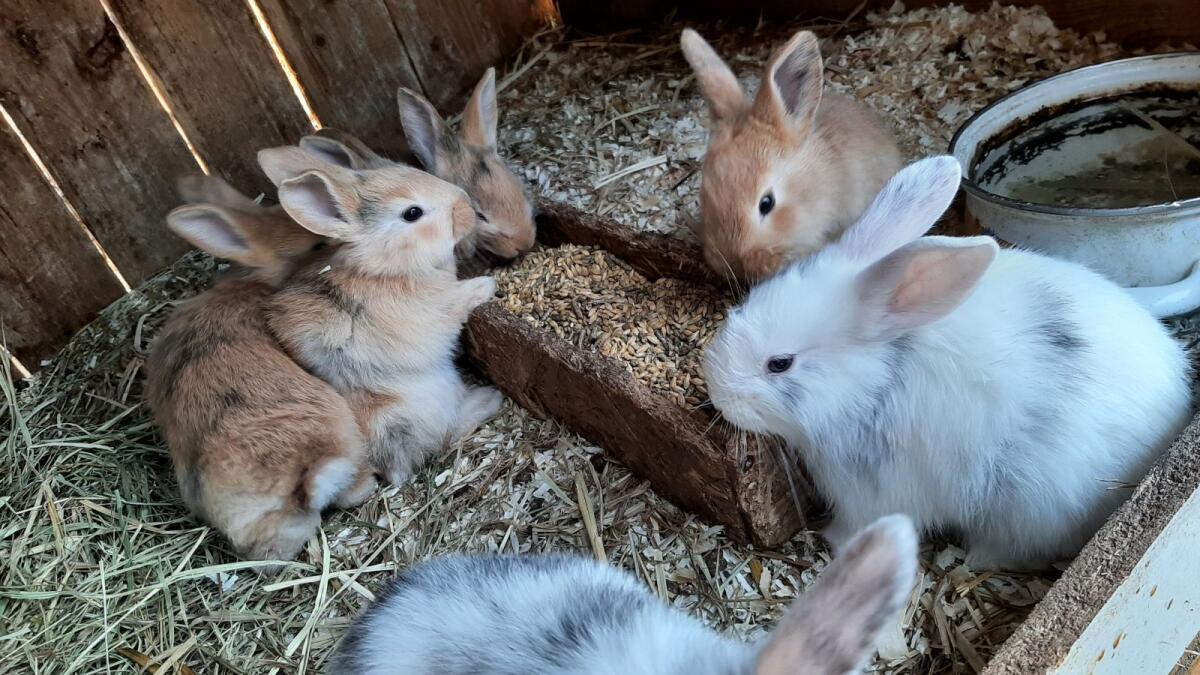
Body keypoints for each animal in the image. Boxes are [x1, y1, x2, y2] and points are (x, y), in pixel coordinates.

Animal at [257, 147, 504, 486]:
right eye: (412, 213)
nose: (465, 205)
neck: (384, 268)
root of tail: (388, 469)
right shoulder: (435, 310)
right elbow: (457, 301)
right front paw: (487, 284)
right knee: (441, 436)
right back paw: (488, 399)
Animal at [702, 155, 1193, 570]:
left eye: (780, 363)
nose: (716, 390)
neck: (873, 382)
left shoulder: (872, 492)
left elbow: (858, 526)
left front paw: (832, 540)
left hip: (1033, 507)